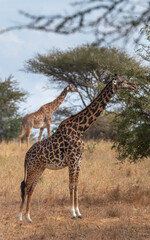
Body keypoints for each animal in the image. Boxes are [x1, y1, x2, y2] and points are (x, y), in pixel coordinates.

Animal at [17, 75, 137, 223]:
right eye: (122, 81)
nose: (134, 86)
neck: (81, 129)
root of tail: (26, 155)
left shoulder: (79, 161)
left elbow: (77, 186)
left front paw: (79, 213)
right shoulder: (72, 160)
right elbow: (71, 185)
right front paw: (73, 213)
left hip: (40, 168)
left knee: (31, 188)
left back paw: (29, 217)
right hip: (33, 167)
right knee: (26, 187)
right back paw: (20, 217)